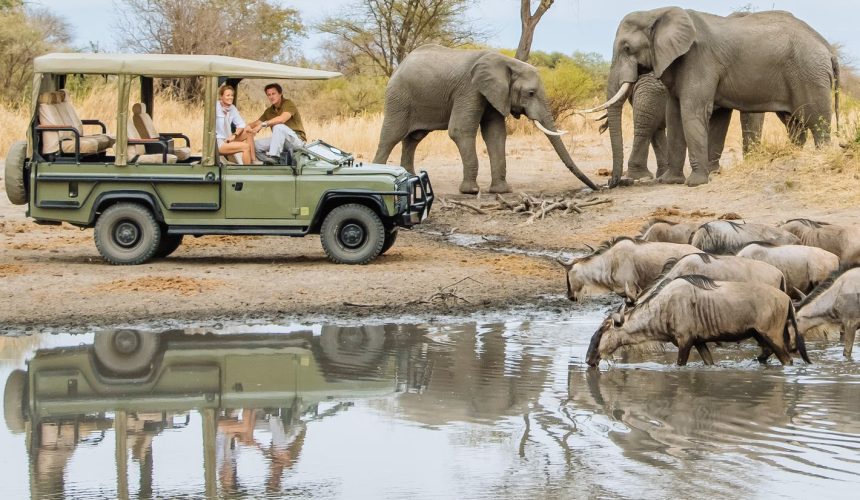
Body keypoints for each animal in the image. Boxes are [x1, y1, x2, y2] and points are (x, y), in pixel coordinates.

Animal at [370, 44, 596, 193]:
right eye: (531, 93)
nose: (596, 187)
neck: (506, 63)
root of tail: (400, 65)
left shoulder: (495, 94)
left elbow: (495, 134)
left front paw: (501, 191)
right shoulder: (470, 89)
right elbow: (460, 130)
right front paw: (470, 191)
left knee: (413, 138)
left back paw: (410, 180)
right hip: (399, 97)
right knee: (391, 136)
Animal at [588, 7, 836, 188]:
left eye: (627, 48)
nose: (611, 183)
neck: (656, 12)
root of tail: (826, 46)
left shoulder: (699, 59)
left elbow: (692, 112)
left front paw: (695, 183)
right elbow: (677, 115)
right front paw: (671, 181)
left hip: (810, 73)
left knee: (817, 120)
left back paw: (821, 157)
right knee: (794, 122)